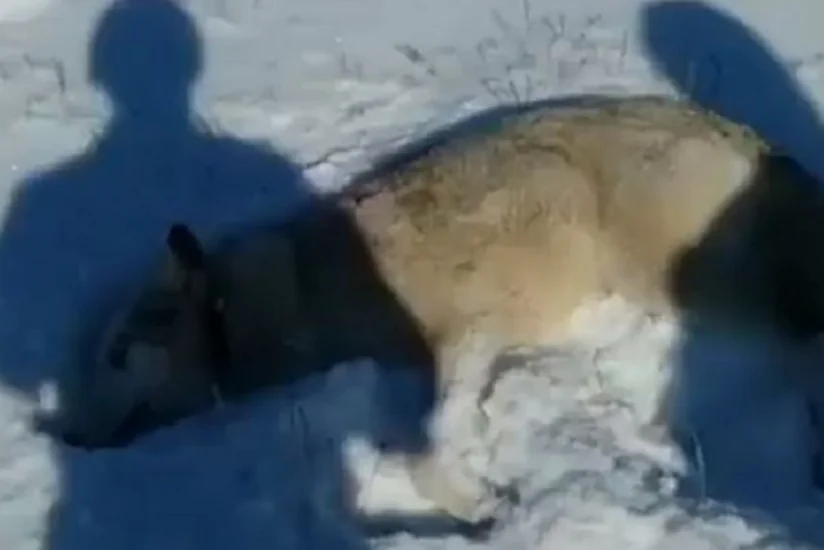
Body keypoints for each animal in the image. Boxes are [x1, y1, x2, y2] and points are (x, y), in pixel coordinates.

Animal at [60, 96, 824, 525]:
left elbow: (430, 438)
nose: (67, 435)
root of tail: (745, 136)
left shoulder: (466, 335)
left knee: (799, 337)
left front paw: (474, 502)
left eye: (116, 355)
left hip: (679, 278)